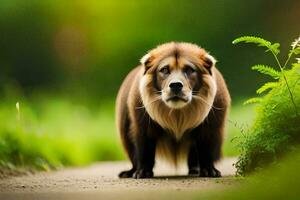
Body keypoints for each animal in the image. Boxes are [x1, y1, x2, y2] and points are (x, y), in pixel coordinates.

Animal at [116, 41, 231, 178]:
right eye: (165, 70)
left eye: (189, 70)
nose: (176, 85)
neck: (177, 114)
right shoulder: (142, 125)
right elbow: (144, 149)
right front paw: (142, 172)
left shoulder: (212, 126)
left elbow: (207, 148)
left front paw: (209, 170)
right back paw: (129, 172)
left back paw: (195, 169)